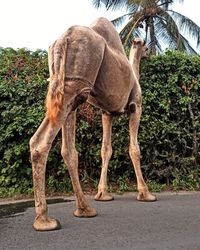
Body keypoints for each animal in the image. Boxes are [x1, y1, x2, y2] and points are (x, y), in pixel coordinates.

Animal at [29, 17, 156, 231]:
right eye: (145, 46)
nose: (149, 53)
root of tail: (63, 39)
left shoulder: (107, 113)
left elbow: (106, 150)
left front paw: (103, 194)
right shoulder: (135, 106)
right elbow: (134, 149)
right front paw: (146, 194)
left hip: (67, 89)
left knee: (67, 150)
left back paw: (84, 209)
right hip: (75, 83)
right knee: (40, 142)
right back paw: (45, 220)